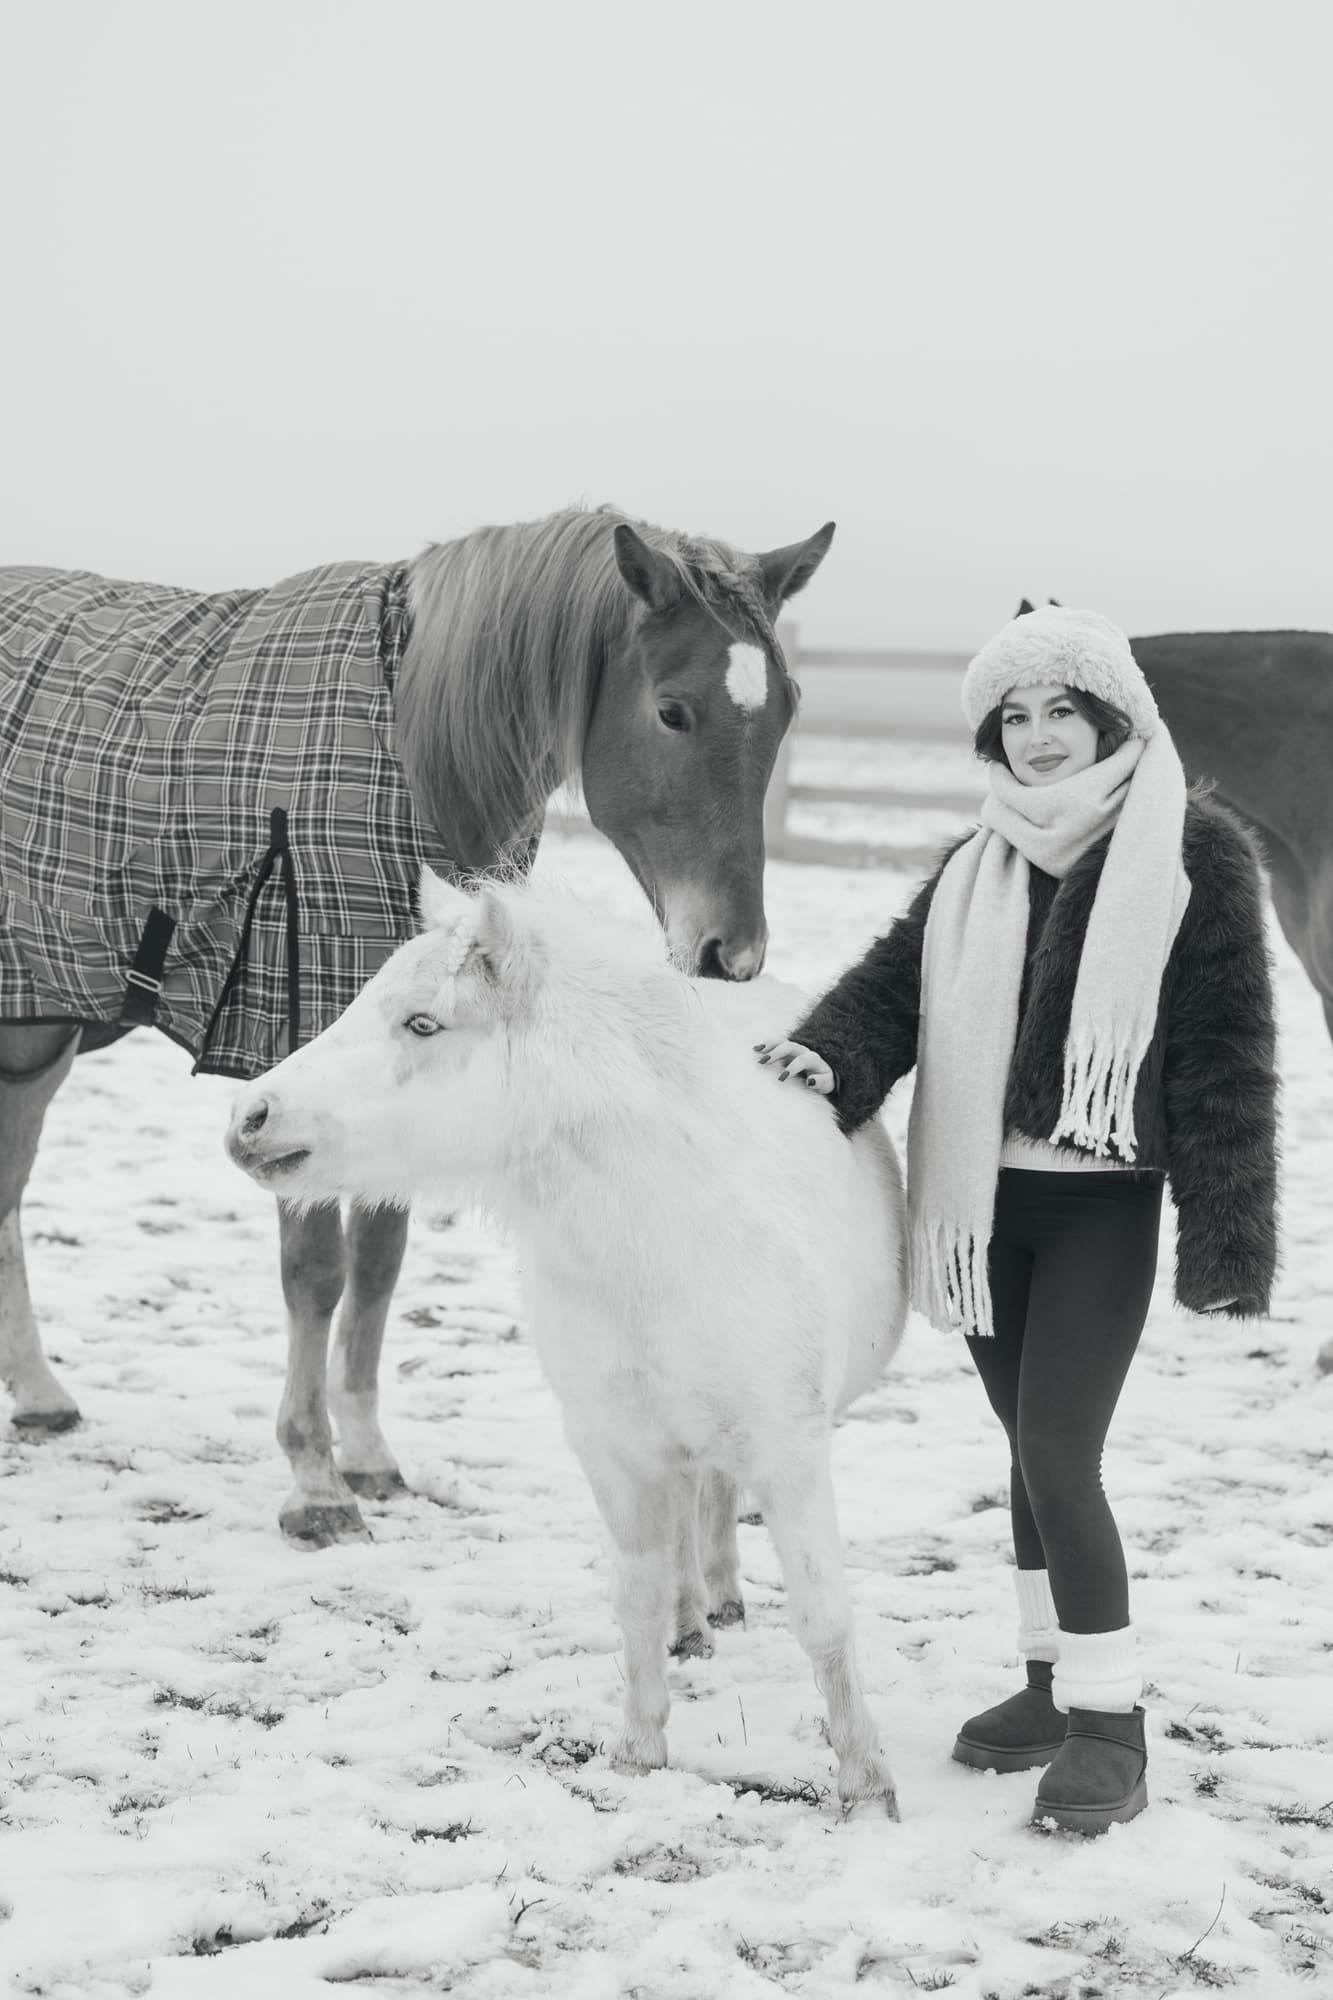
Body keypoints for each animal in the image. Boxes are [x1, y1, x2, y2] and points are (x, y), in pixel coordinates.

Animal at [0, 506, 835, 1541]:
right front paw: (315, 1483)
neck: (411, 745)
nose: (732, 955)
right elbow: (318, 1271)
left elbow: (380, 1265)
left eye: (787, 709)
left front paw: (366, 1456)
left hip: (37, 1032)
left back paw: (39, 1394)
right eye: (672, 710)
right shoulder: (294, 1044)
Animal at [224, 871, 909, 1811]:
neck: (665, 1234)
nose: (250, 1116)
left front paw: (865, 1780)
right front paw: (639, 1752)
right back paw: (696, 1618)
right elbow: (638, 1598)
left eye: (423, 1024)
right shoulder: (612, 1449)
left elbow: (822, 1615)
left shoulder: (789, 1450)